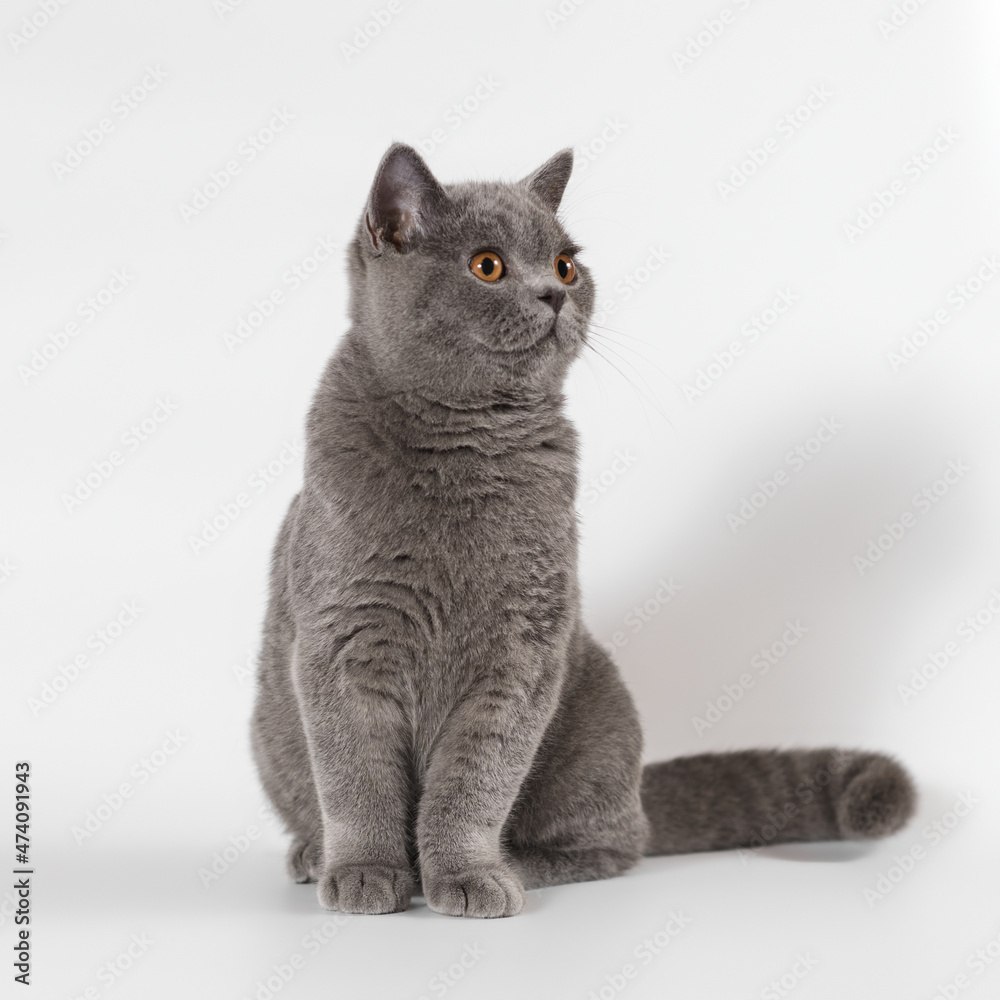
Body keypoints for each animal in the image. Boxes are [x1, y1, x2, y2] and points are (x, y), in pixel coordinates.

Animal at [250, 141, 916, 916]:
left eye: (566, 264)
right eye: (488, 265)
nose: (555, 293)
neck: (461, 447)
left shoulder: (522, 652)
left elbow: (473, 784)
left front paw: (468, 877)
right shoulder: (344, 638)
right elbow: (356, 779)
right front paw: (364, 873)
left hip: (600, 714)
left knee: (618, 843)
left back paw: (519, 864)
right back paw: (313, 853)